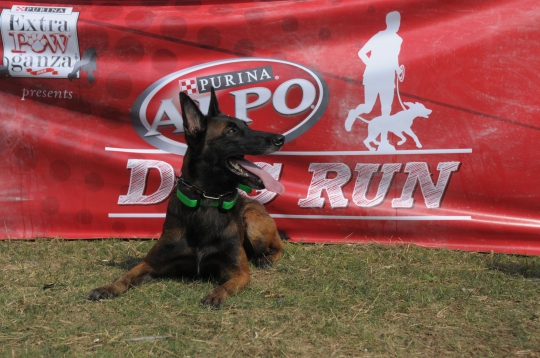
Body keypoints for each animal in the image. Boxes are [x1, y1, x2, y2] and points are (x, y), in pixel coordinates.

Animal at [84, 88, 284, 306]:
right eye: (231, 131)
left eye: (246, 126)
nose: (280, 139)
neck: (207, 200)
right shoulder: (148, 264)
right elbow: (125, 276)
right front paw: (107, 288)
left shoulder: (239, 273)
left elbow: (227, 285)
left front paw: (215, 295)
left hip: (253, 222)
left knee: (279, 247)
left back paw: (266, 259)